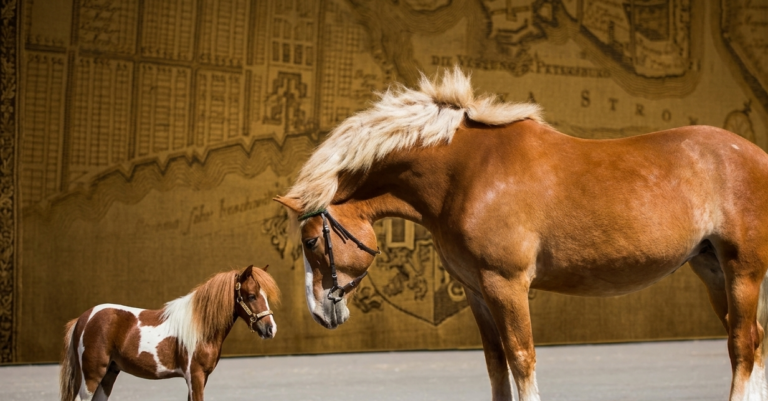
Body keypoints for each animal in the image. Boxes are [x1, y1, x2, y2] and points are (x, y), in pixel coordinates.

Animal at [59, 265, 280, 401]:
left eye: (265, 296)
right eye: (251, 296)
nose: (271, 329)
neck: (200, 328)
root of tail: (83, 319)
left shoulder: (199, 378)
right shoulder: (195, 376)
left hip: (108, 374)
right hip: (92, 376)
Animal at [275, 68, 768, 401]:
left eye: (311, 241)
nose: (319, 311)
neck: (467, 173)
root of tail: (755, 153)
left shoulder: (506, 284)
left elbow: (521, 358)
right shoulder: (476, 289)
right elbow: (496, 363)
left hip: (743, 271)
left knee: (742, 344)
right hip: (711, 269)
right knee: (754, 340)